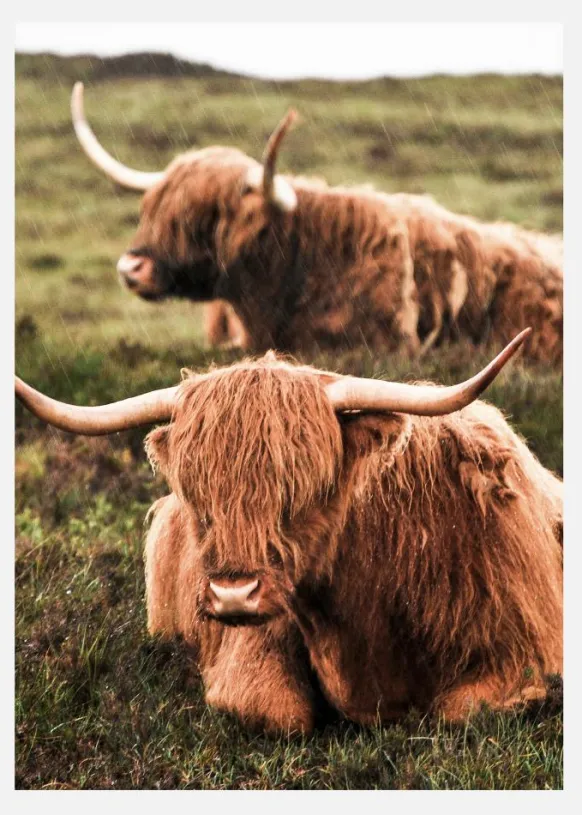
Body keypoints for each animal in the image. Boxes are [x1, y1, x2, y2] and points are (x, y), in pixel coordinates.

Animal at [16, 329, 563, 735]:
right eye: (200, 496)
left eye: (303, 489)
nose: (233, 594)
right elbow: (281, 715)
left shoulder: (523, 652)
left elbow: (458, 711)